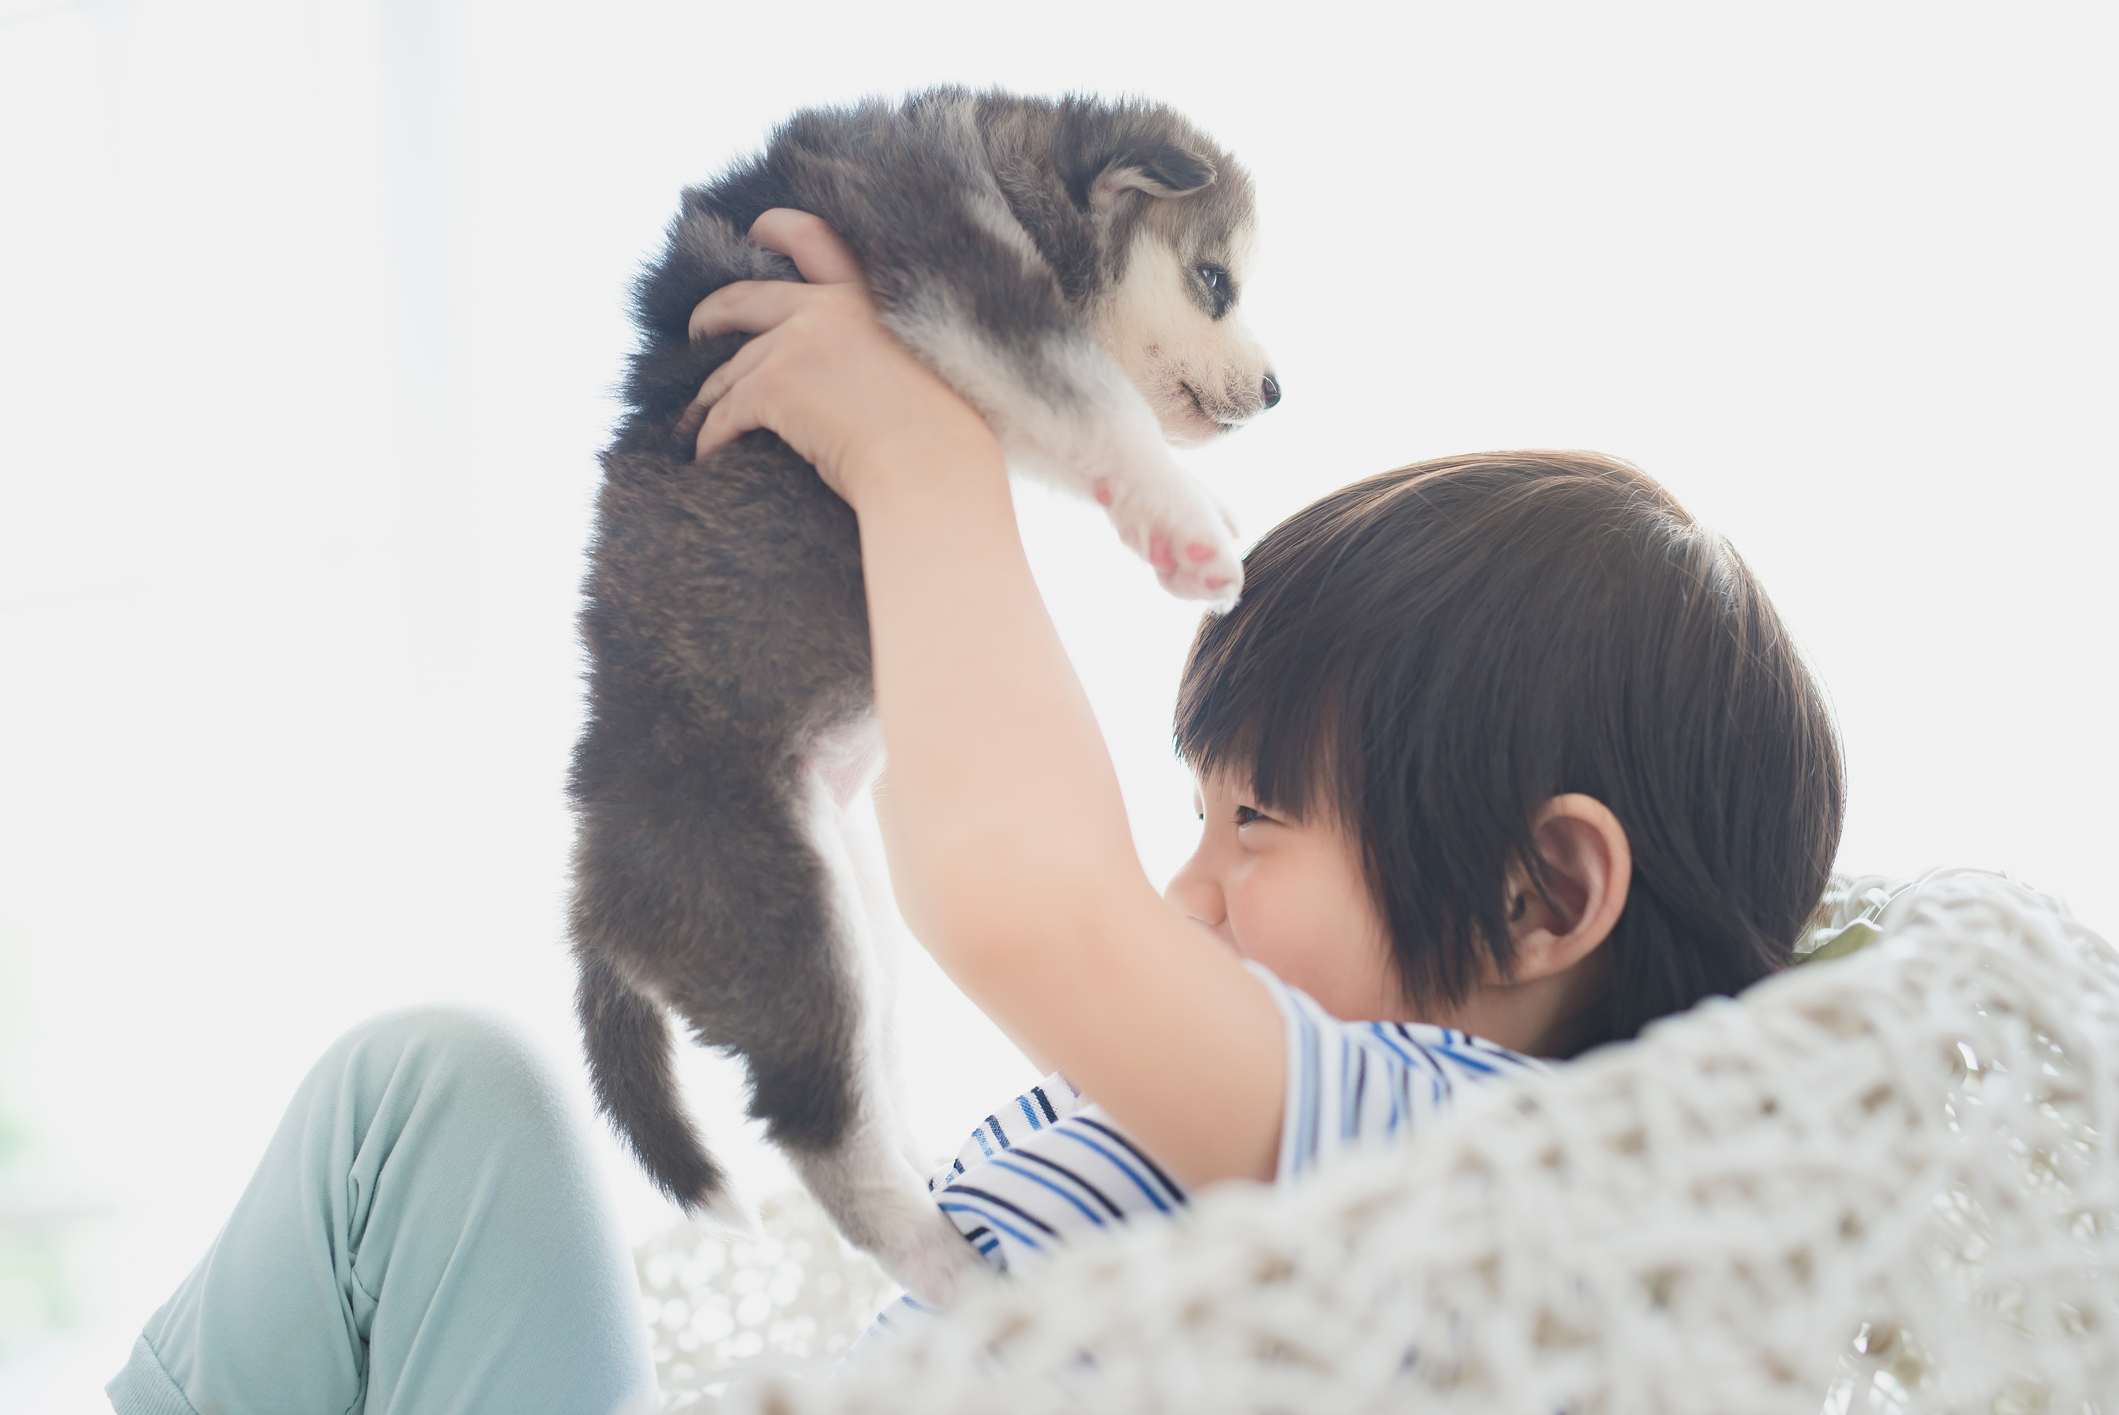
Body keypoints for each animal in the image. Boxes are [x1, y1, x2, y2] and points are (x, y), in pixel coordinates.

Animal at [567, 91, 1271, 1304]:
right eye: (1215, 279)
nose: (1279, 390)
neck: (994, 160)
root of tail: (592, 905)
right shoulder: (955, 276)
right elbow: (1092, 403)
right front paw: (1187, 525)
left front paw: (1189, 512)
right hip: (789, 926)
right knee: (823, 1140)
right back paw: (951, 1266)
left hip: (849, 915)